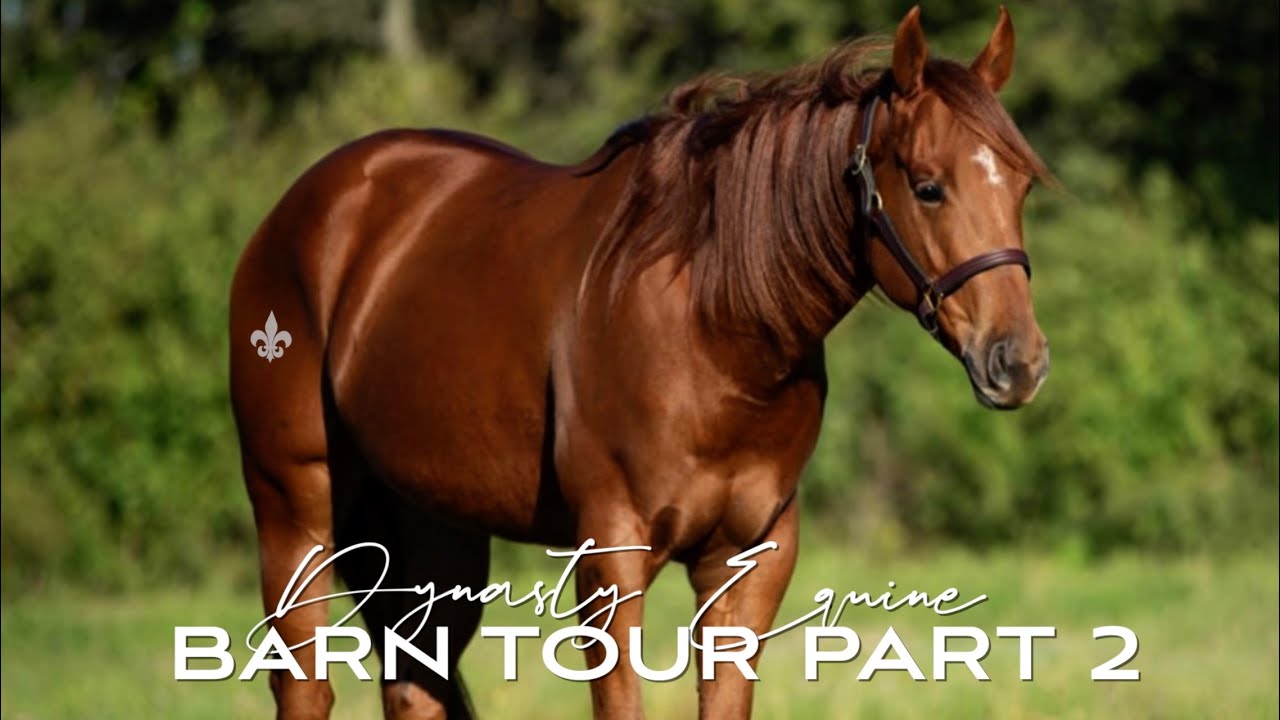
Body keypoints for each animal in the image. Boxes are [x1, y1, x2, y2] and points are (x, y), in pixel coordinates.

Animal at [229, 5, 1050, 719]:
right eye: (928, 186)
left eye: (1021, 184)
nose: (1018, 362)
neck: (712, 327)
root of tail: (302, 210)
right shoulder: (612, 556)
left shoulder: (749, 558)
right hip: (294, 510)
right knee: (304, 687)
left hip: (433, 530)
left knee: (414, 687)